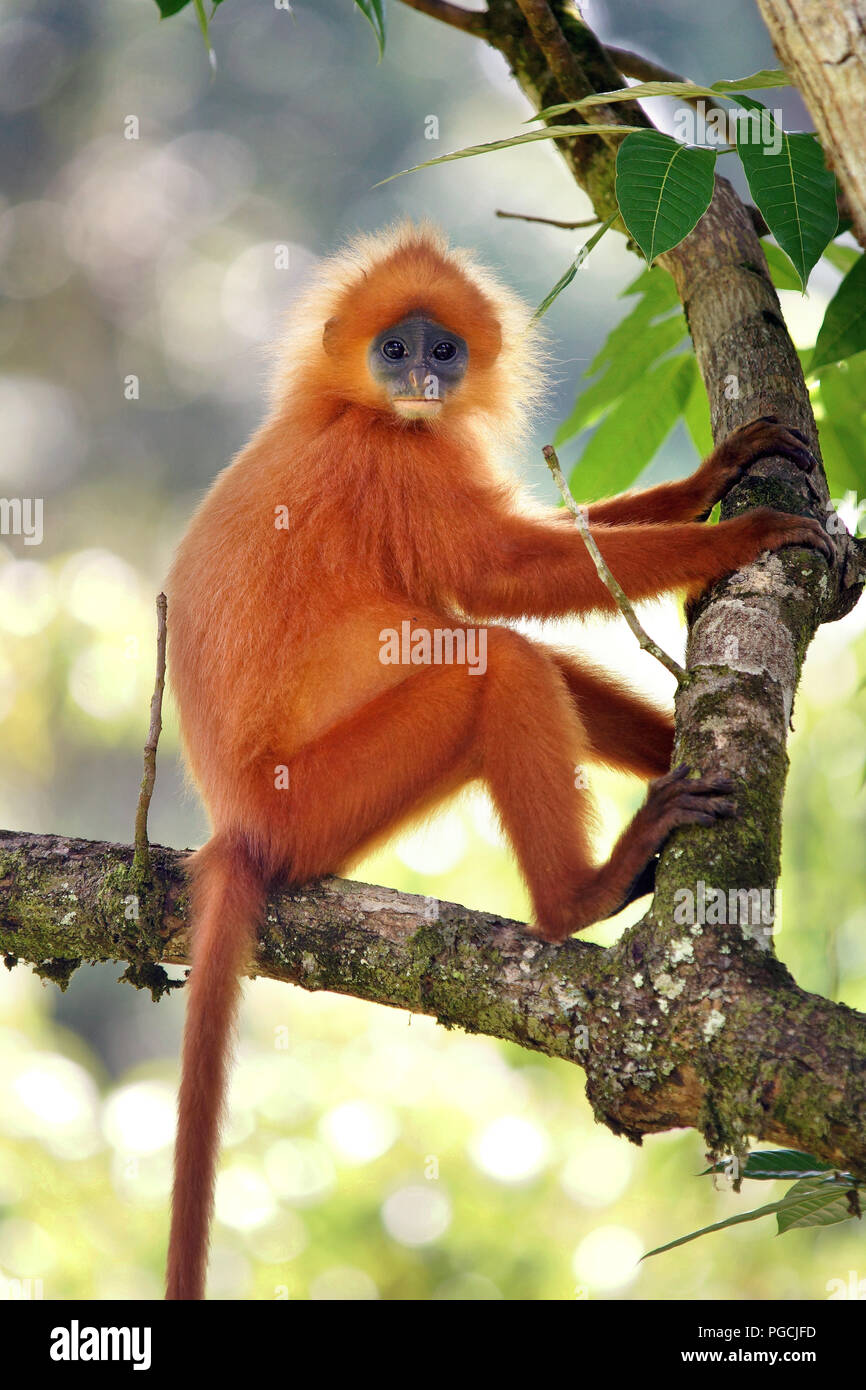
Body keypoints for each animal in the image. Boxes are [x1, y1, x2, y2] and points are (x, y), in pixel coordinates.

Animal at [164, 222, 834, 1295]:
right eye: (397, 348)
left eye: (444, 349)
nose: (424, 380)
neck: (353, 410)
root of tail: (236, 820)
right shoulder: (391, 458)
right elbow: (503, 575)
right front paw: (746, 528)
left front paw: (715, 476)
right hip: (318, 801)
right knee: (498, 660)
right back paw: (582, 894)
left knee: (519, 656)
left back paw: (676, 758)